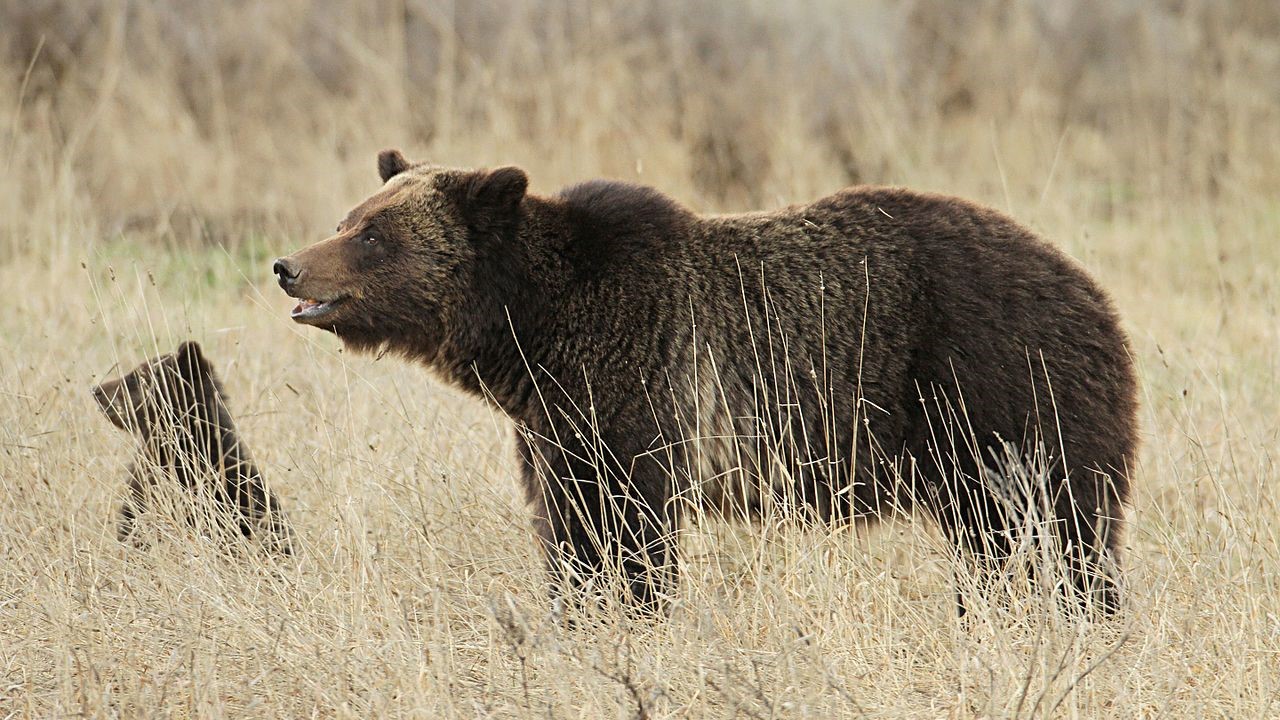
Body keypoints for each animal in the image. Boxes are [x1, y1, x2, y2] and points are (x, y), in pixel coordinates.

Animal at [275, 148, 1136, 614]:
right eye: (351, 217)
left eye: (373, 234)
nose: (288, 265)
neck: (534, 331)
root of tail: (1091, 291)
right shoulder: (555, 425)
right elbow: (570, 529)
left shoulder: (636, 390)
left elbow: (626, 532)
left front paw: (627, 613)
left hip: (996, 391)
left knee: (1058, 530)